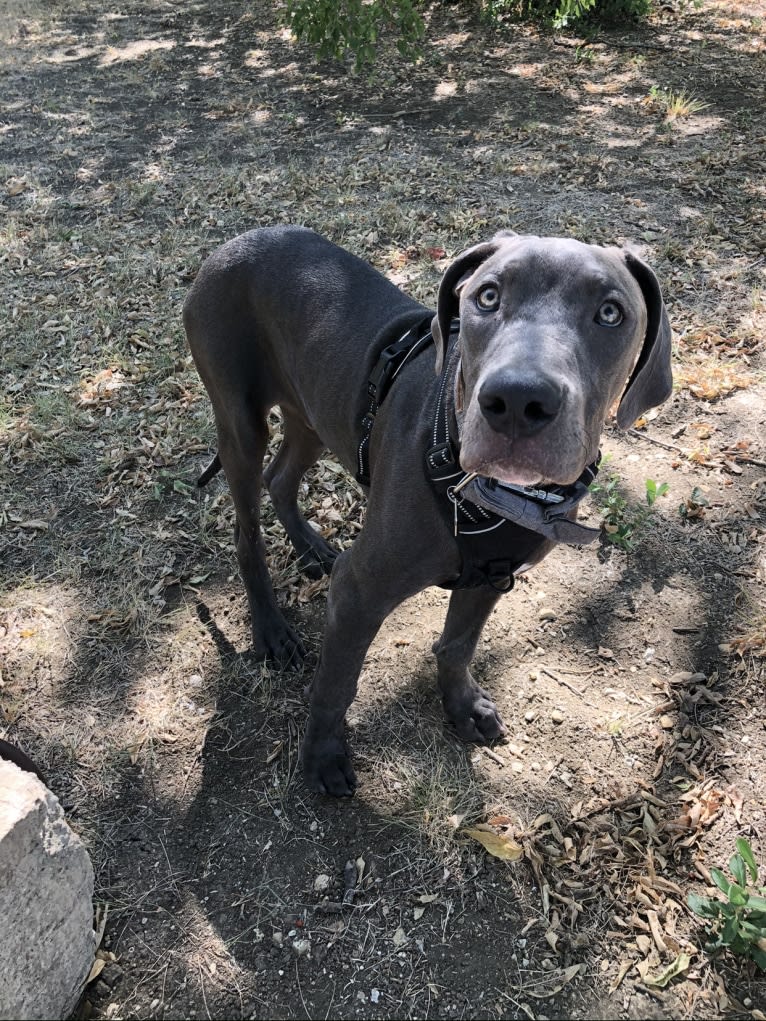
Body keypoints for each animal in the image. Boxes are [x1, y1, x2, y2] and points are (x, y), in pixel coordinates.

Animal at [184, 227, 669, 792]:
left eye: (611, 313)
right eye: (487, 296)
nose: (517, 401)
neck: (494, 494)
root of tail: (234, 242)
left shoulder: (491, 576)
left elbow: (458, 645)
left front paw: (462, 706)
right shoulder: (358, 590)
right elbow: (336, 682)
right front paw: (322, 755)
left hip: (313, 413)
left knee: (279, 478)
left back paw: (309, 547)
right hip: (240, 419)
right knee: (247, 530)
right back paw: (271, 629)